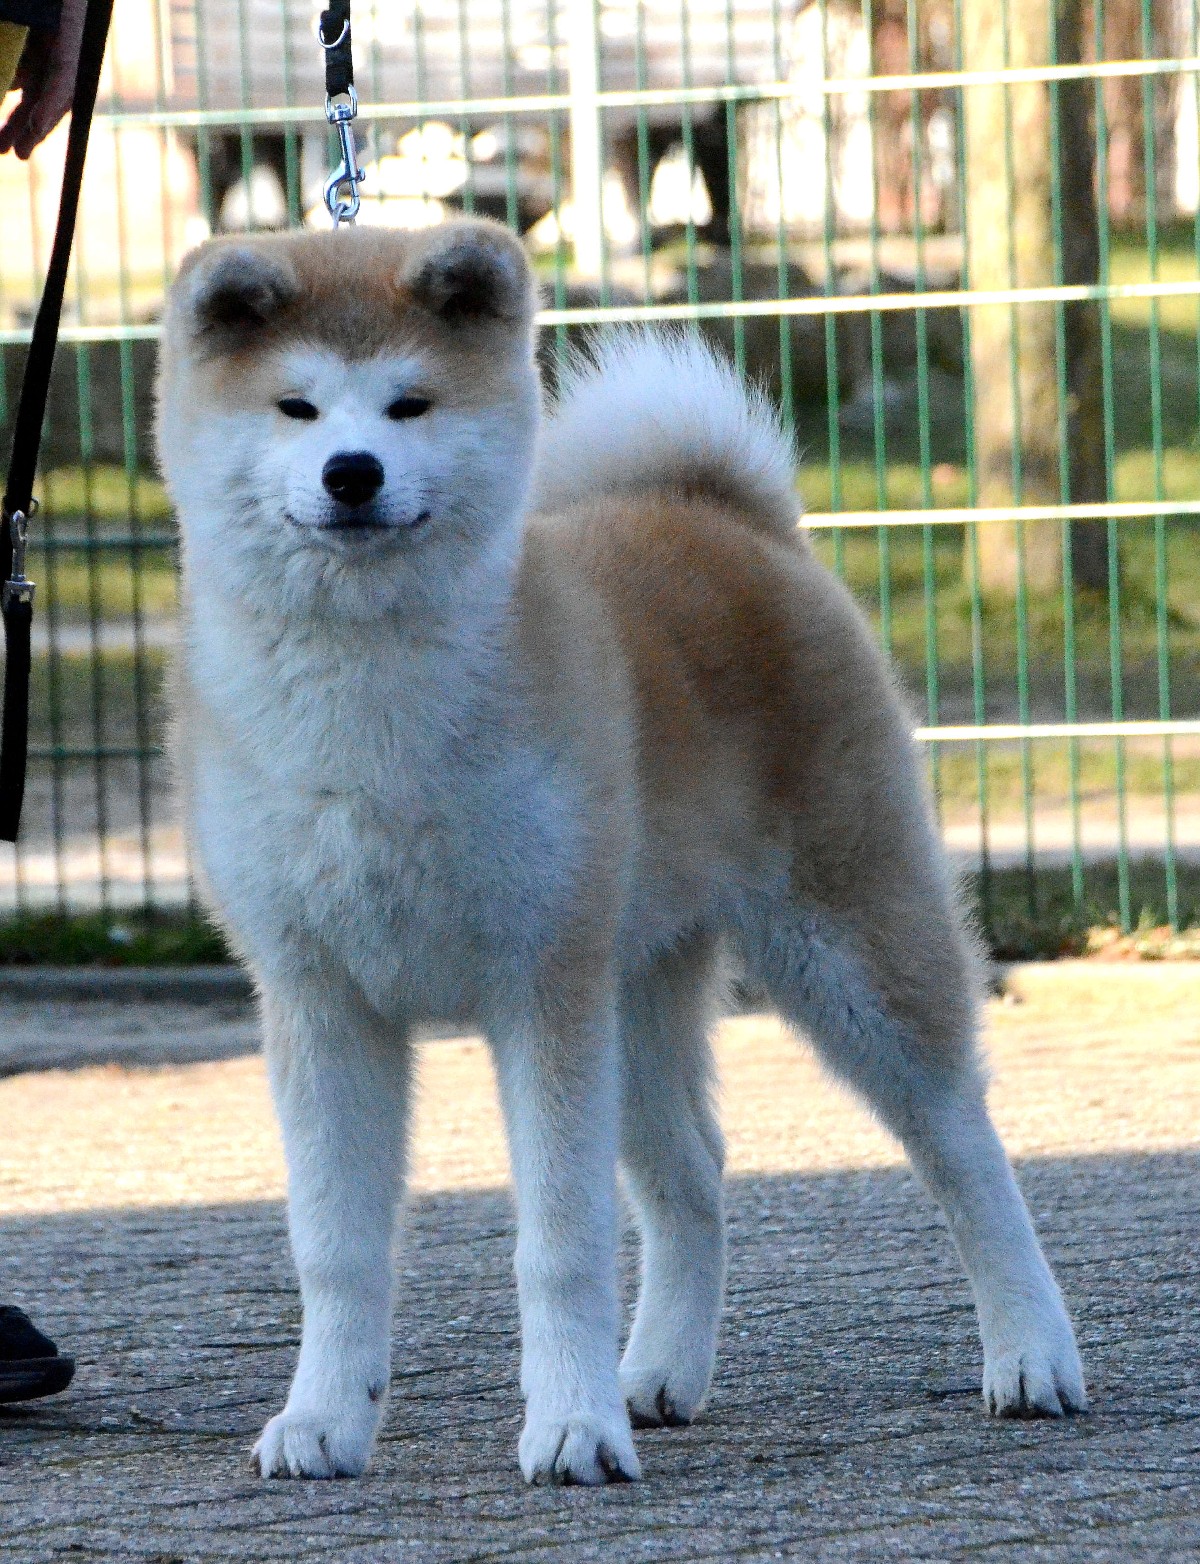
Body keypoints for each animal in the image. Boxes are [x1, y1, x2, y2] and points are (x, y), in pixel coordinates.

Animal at [155, 216, 1086, 1486]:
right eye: (296, 407)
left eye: (409, 404)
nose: (353, 472)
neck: (367, 704)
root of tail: (730, 517)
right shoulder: (320, 999)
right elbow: (335, 1247)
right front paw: (323, 1419)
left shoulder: (541, 986)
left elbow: (559, 1241)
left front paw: (570, 1426)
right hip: (637, 985)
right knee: (694, 1176)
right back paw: (658, 1375)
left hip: (846, 946)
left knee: (963, 1146)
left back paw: (1031, 1354)